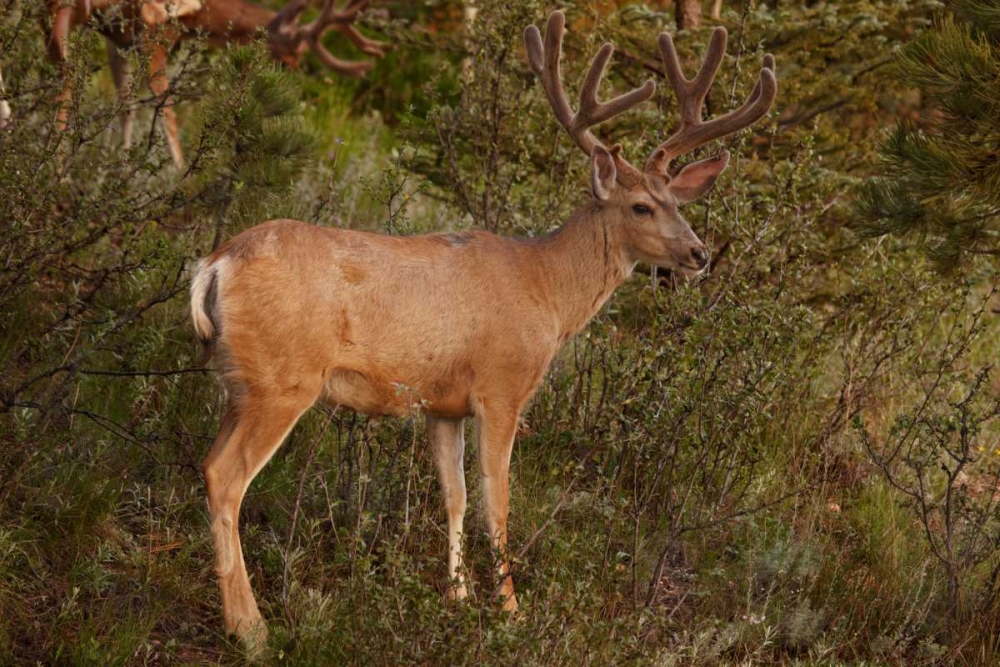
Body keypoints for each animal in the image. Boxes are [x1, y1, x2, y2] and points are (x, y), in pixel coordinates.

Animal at [39, 0, 384, 168]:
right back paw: (51, 173)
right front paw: (177, 176)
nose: (286, 91)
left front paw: (117, 167)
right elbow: (167, 116)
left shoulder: (118, 39)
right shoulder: (156, 34)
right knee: (65, 82)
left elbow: (125, 107)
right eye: (288, 59)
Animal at [189, 9, 776, 651]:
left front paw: (458, 597)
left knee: (207, 464)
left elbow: (455, 496)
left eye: (678, 203)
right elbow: (498, 500)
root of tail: (215, 264)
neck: (547, 289)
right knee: (226, 476)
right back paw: (250, 628)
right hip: (282, 379)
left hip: (238, 382)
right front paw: (511, 611)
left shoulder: (443, 404)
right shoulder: (502, 387)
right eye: (642, 206)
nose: (699, 254)